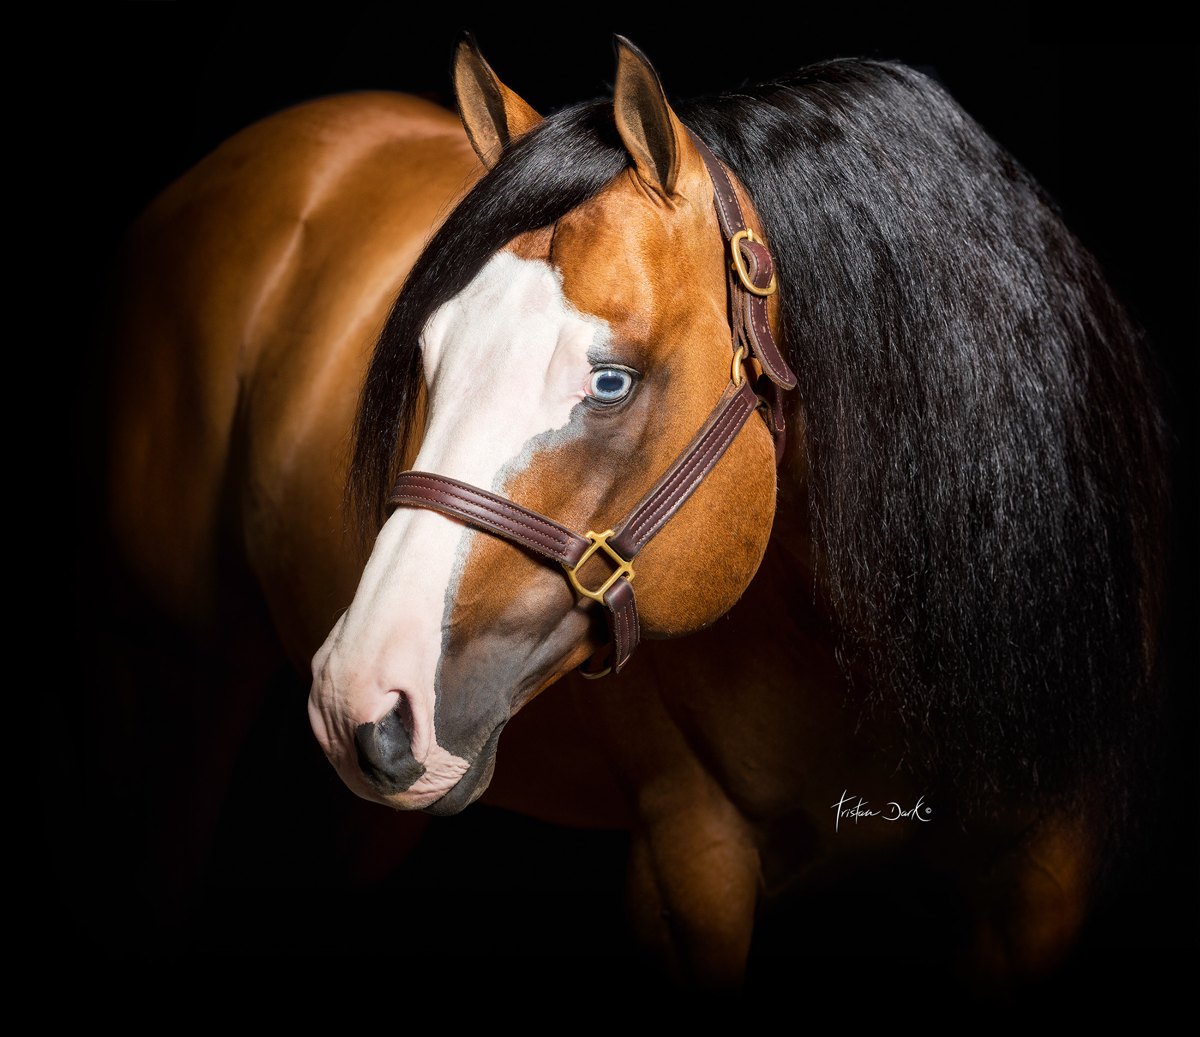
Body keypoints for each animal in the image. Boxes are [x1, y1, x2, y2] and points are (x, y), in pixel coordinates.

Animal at [107, 36, 1167, 984]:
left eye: (611, 382)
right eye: (428, 353)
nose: (356, 695)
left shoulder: (1046, 874)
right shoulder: (686, 870)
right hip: (182, 684)